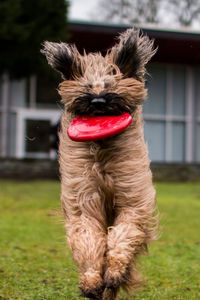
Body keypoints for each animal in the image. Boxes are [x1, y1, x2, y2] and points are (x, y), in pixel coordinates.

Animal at [41, 28, 158, 300]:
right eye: (85, 88)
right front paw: (92, 280)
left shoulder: (132, 197)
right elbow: (88, 237)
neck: (102, 152)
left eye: (110, 86)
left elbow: (124, 233)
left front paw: (114, 271)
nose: (97, 102)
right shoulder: (83, 198)